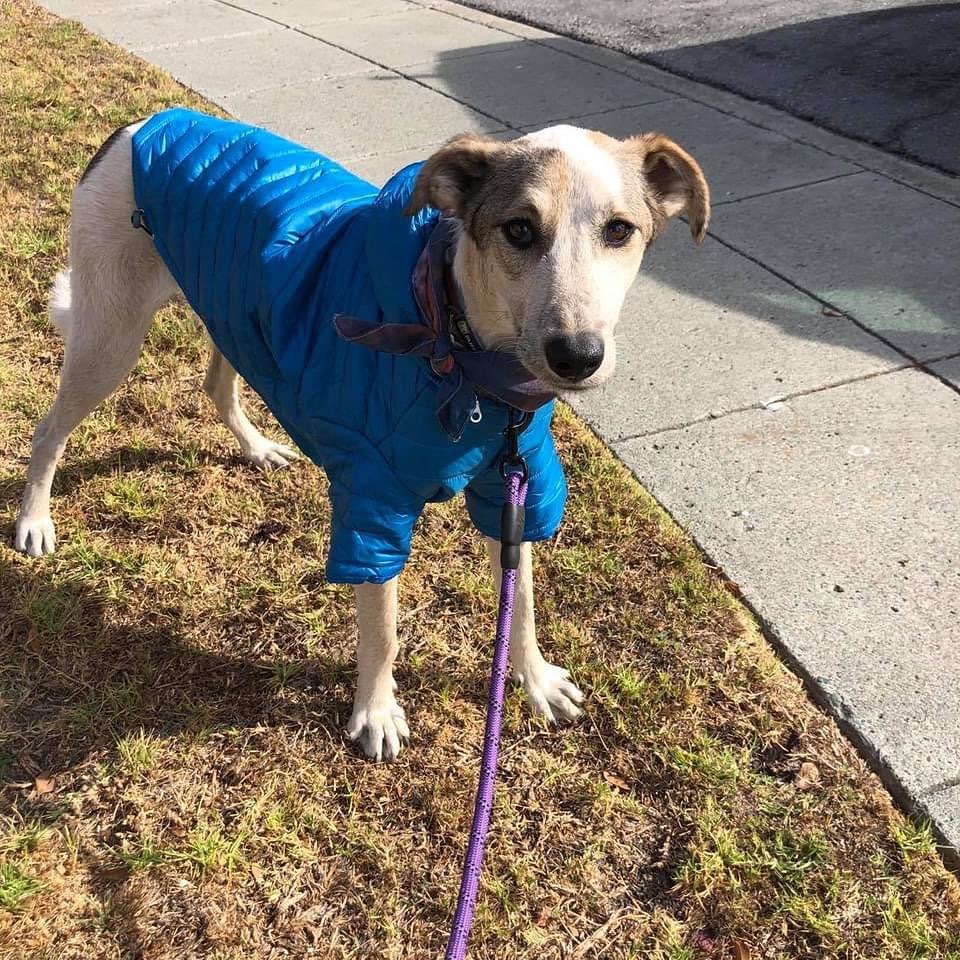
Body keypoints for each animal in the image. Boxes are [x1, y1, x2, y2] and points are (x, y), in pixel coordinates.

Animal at [11, 109, 708, 760]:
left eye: (619, 230)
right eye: (518, 229)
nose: (577, 356)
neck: (462, 350)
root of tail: (143, 123)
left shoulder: (516, 481)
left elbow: (523, 597)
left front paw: (533, 680)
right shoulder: (374, 499)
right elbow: (384, 625)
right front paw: (375, 712)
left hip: (233, 307)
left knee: (215, 383)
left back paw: (256, 447)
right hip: (110, 335)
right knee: (48, 430)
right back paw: (34, 520)